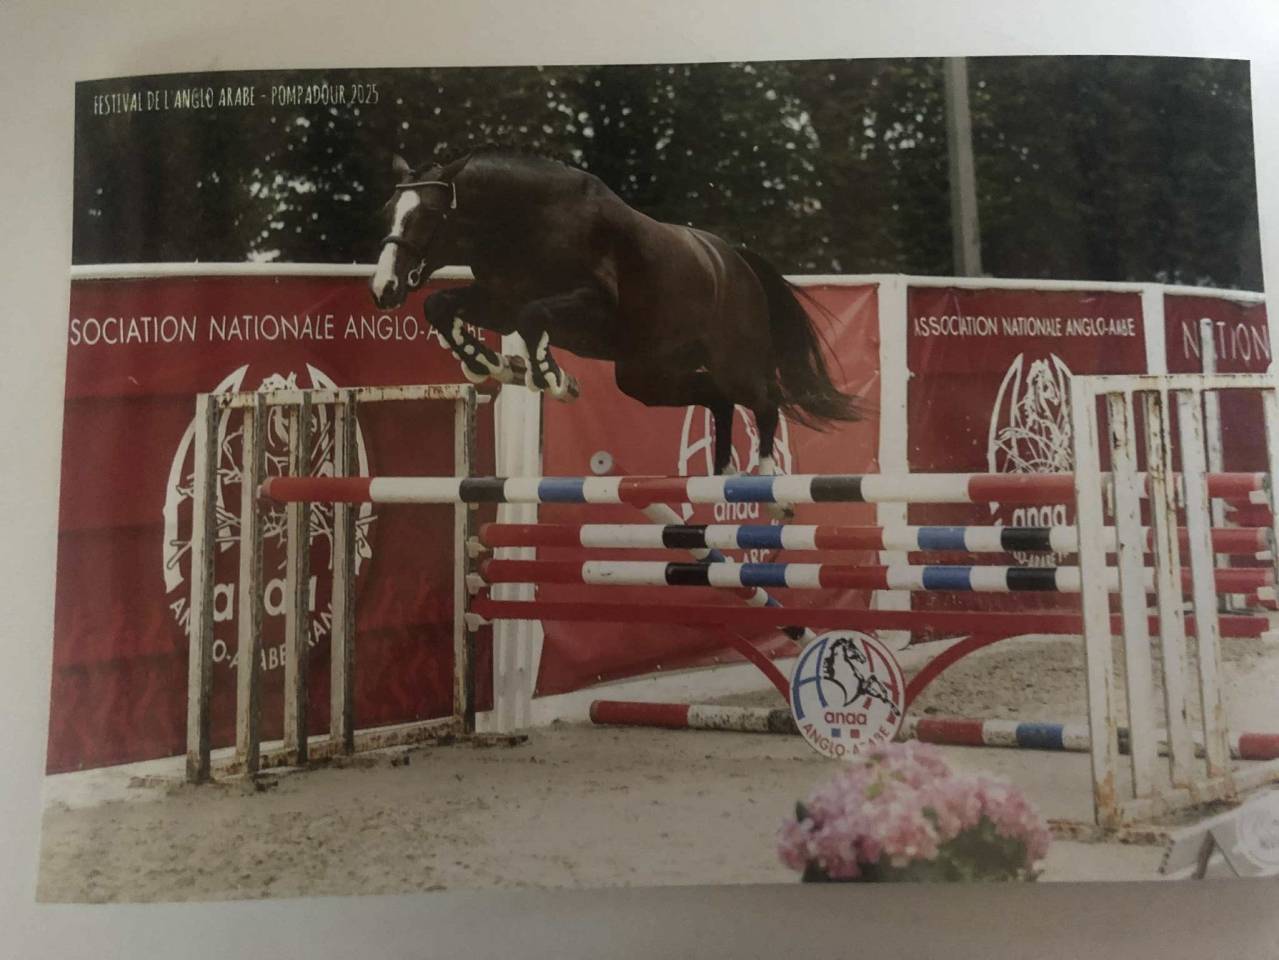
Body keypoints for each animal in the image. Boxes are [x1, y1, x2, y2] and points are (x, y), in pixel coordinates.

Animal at [370, 148, 859, 482]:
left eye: (427, 216)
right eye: (387, 212)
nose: (383, 289)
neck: (526, 223)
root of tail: (737, 262)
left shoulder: (591, 305)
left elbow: (533, 317)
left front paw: (551, 378)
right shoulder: (499, 301)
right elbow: (440, 305)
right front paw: (486, 363)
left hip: (733, 363)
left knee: (765, 398)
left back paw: (767, 481)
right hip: (647, 377)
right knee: (719, 400)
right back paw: (722, 473)